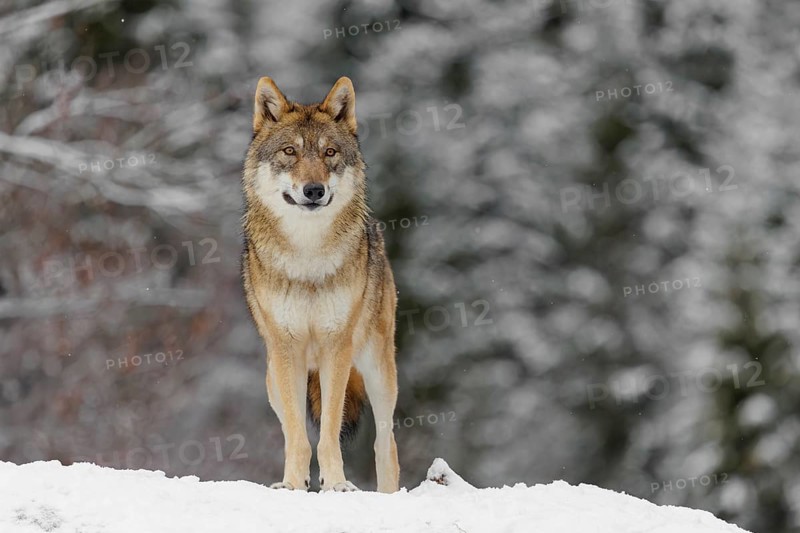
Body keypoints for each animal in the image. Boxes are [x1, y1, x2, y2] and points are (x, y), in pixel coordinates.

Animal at [241, 76, 399, 493]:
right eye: (290, 151)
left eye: (329, 152)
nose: (313, 190)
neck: (307, 256)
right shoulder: (286, 350)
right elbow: (298, 436)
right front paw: (294, 486)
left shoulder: (336, 347)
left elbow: (329, 432)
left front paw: (337, 485)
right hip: (272, 380)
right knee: (287, 427)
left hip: (379, 370)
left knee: (386, 443)